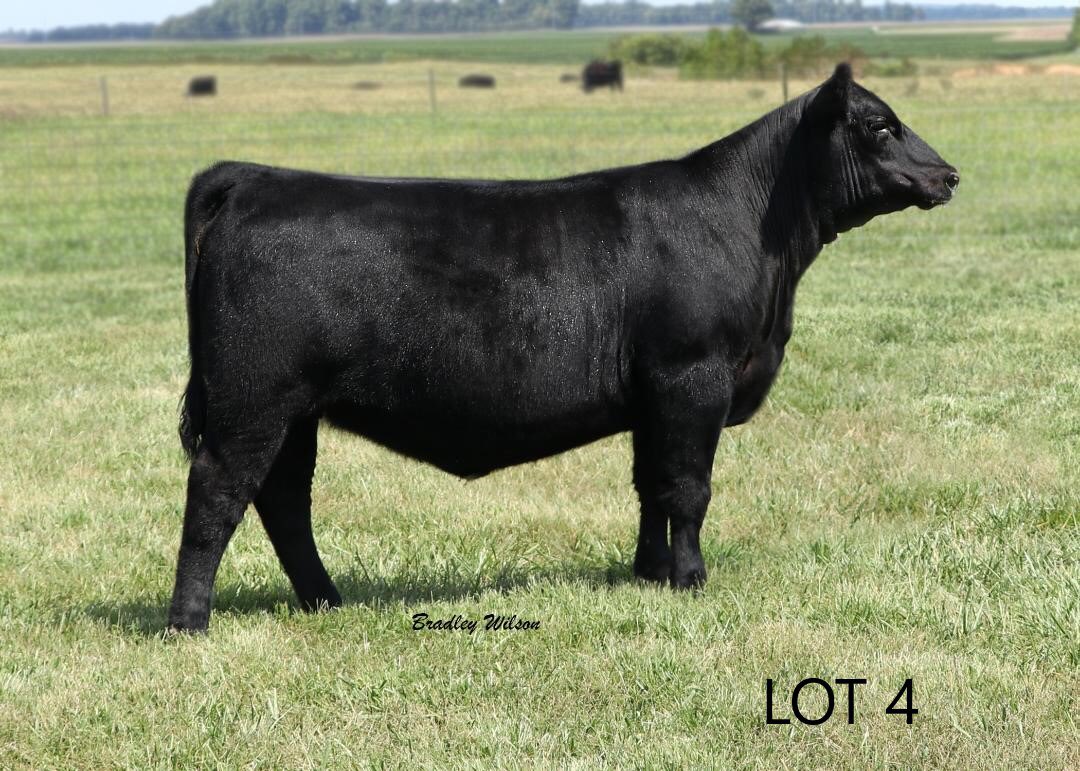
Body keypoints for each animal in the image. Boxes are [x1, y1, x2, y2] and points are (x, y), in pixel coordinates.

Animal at [167, 64, 958, 632]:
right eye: (880, 125)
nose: (949, 174)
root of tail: (253, 176)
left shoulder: (652, 396)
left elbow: (650, 484)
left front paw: (649, 573)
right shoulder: (691, 376)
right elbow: (689, 486)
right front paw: (692, 580)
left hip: (293, 410)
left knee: (283, 499)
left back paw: (325, 600)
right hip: (253, 400)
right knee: (219, 490)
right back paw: (188, 621)